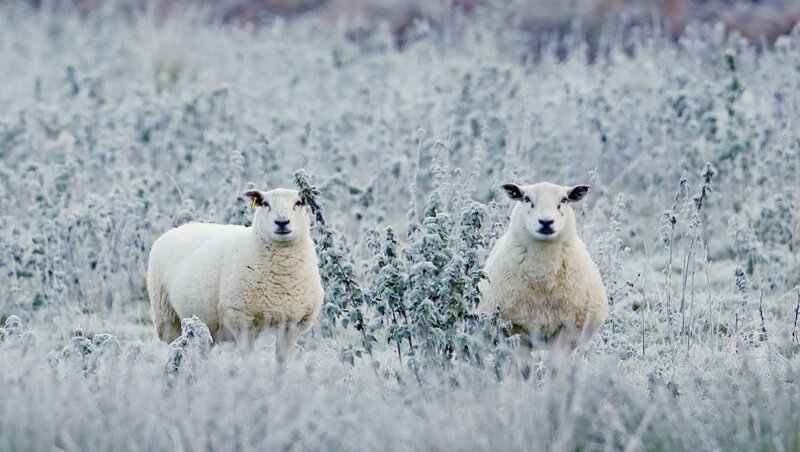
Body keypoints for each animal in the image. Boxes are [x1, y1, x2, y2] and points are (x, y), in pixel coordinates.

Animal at [148, 187, 324, 364]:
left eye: (299, 203)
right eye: (265, 204)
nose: (282, 222)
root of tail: (178, 228)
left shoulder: (293, 324)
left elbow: (281, 362)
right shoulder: (241, 320)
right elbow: (250, 363)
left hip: (205, 327)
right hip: (168, 318)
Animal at [478, 182, 608, 354]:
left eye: (564, 200)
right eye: (526, 198)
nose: (546, 222)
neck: (542, 274)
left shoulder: (567, 330)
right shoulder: (516, 329)